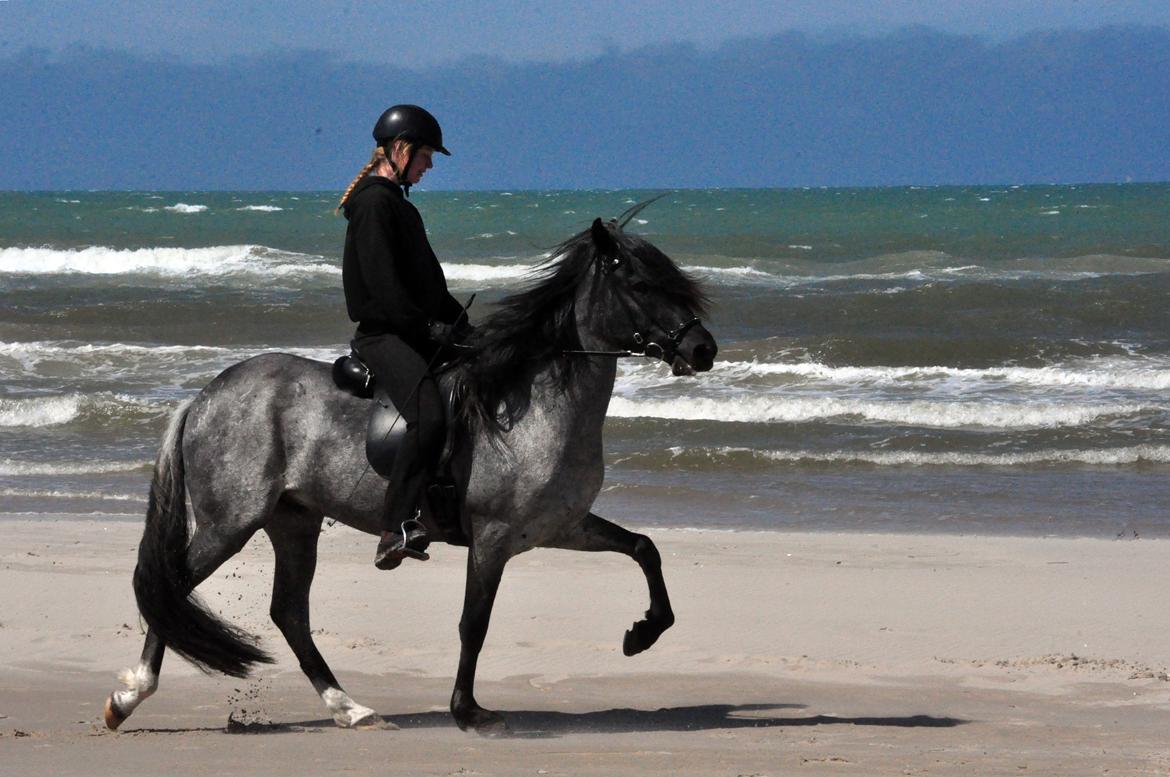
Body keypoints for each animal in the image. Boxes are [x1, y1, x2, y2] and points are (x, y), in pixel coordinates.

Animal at [105, 210, 716, 734]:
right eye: (640, 285)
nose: (702, 349)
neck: (535, 406)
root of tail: (204, 397)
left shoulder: (559, 527)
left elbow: (643, 548)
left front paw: (643, 633)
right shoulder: (492, 537)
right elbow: (474, 622)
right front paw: (469, 712)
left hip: (293, 521)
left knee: (289, 614)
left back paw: (350, 709)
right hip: (230, 522)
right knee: (173, 588)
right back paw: (128, 696)